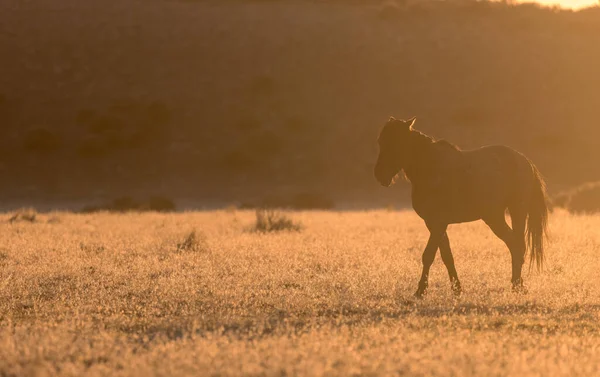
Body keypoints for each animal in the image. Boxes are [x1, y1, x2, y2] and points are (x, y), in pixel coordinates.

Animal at [376, 115, 548, 296]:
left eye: (397, 143)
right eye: (380, 141)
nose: (380, 175)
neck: (432, 168)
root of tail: (525, 161)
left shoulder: (438, 223)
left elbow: (428, 255)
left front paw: (421, 290)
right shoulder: (433, 223)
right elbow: (447, 256)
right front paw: (456, 289)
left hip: (513, 212)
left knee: (517, 245)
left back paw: (517, 285)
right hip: (499, 216)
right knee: (515, 244)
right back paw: (518, 284)